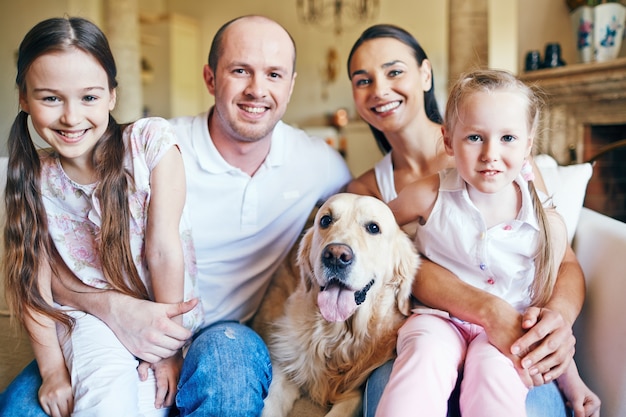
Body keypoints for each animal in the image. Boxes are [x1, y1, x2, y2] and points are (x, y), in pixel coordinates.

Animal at [252, 193, 420, 416]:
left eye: (373, 227)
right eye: (325, 220)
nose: (336, 256)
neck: (337, 336)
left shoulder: (356, 388)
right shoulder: (288, 365)